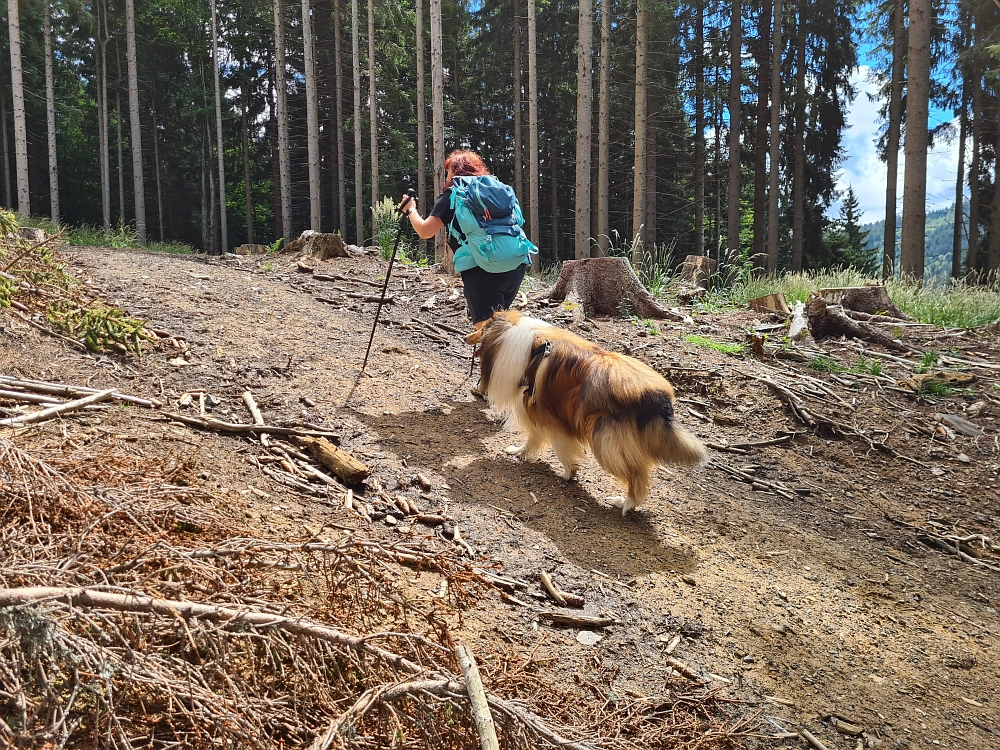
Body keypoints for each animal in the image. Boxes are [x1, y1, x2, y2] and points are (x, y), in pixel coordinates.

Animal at [464, 312, 708, 516]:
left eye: (482, 327)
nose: (466, 337)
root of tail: (658, 397)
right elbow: (534, 438)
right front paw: (521, 453)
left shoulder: (543, 412)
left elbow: (551, 443)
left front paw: (568, 472)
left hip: (606, 441)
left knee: (636, 475)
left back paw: (625, 503)